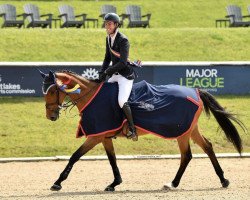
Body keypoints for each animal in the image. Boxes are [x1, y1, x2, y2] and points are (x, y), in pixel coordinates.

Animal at [40, 69, 245, 191]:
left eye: (53, 91)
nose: (50, 116)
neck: (91, 96)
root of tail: (195, 91)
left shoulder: (96, 136)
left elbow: (75, 156)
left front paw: (57, 182)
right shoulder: (104, 136)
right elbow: (112, 160)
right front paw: (115, 183)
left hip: (182, 131)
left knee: (187, 154)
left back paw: (176, 183)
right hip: (189, 129)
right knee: (205, 148)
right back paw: (220, 180)